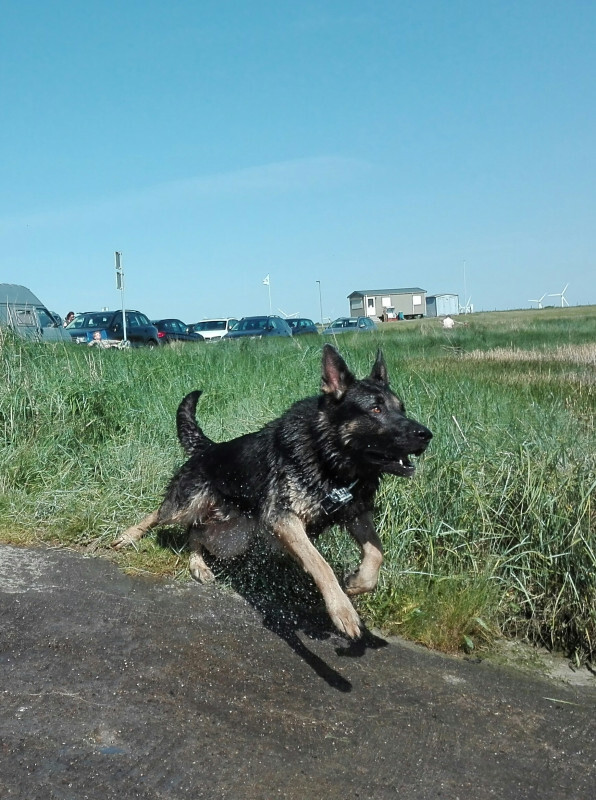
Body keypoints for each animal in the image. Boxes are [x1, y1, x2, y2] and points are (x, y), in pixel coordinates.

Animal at [114, 344, 430, 636]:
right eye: (376, 409)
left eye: (401, 408)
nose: (426, 435)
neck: (328, 457)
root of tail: (208, 448)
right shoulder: (284, 519)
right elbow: (320, 564)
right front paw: (342, 610)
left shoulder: (354, 514)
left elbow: (376, 553)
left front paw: (356, 583)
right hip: (187, 505)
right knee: (162, 514)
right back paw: (129, 536)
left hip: (232, 537)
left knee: (196, 532)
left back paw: (198, 565)